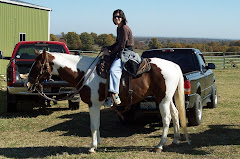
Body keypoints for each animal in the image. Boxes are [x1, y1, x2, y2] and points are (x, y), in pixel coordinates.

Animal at [27, 49, 190, 153]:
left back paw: (160, 145)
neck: (84, 72)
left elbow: (93, 125)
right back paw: (175, 140)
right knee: (175, 114)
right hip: (167, 98)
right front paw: (97, 143)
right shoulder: (96, 105)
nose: (28, 83)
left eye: (37, 65)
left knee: (166, 119)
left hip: (163, 99)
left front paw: (92, 147)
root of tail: (174, 65)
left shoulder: (92, 104)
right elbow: (97, 124)